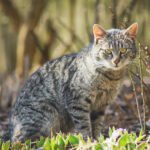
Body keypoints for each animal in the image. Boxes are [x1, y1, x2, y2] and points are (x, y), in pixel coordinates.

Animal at [7, 22, 137, 142]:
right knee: (19, 140)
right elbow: (84, 125)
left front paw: (97, 140)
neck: (110, 78)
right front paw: (88, 141)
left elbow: (97, 124)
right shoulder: (77, 101)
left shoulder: (101, 105)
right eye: (108, 51)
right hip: (45, 115)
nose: (116, 61)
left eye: (123, 50)